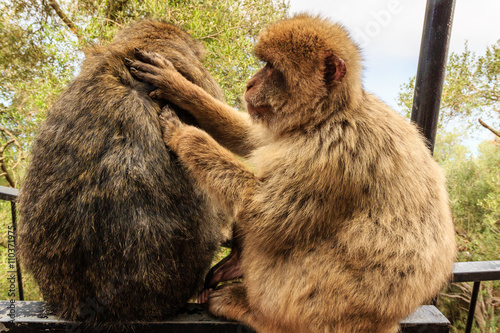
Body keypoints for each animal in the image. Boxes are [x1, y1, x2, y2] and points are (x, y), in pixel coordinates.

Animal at [128, 14, 458, 332]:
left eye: (272, 68)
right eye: (264, 65)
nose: (249, 84)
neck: (328, 116)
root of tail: (382, 322)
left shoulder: (332, 154)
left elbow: (263, 213)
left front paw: (184, 134)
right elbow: (251, 137)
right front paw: (178, 85)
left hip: (317, 307)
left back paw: (253, 309)